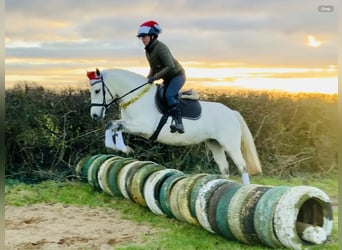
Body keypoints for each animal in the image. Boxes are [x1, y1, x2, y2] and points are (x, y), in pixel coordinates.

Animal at [86, 68, 262, 184]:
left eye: (97, 90)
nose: (94, 115)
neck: (137, 97)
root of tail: (232, 112)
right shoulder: (130, 124)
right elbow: (113, 125)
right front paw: (118, 147)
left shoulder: (144, 127)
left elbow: (115, 125)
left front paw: (124, 148)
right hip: (215, 144)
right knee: (224, 168)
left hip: (230, 143)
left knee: (242, 166)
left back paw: (245, 190)